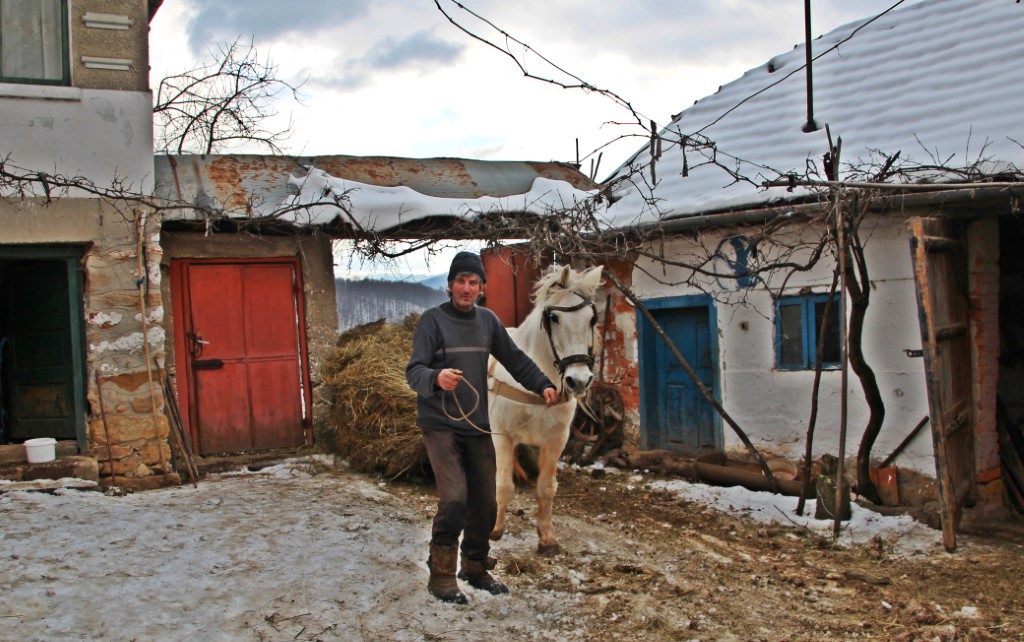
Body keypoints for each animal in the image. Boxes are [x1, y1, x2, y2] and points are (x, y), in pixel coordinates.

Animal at [487, 264, 604, 554]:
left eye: (592, 319)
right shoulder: (502, 436)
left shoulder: (554, 442)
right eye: (554, 318)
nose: (579, 381)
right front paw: (495, 529)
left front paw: (547, 537)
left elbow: (547, 489)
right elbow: (503, 485)